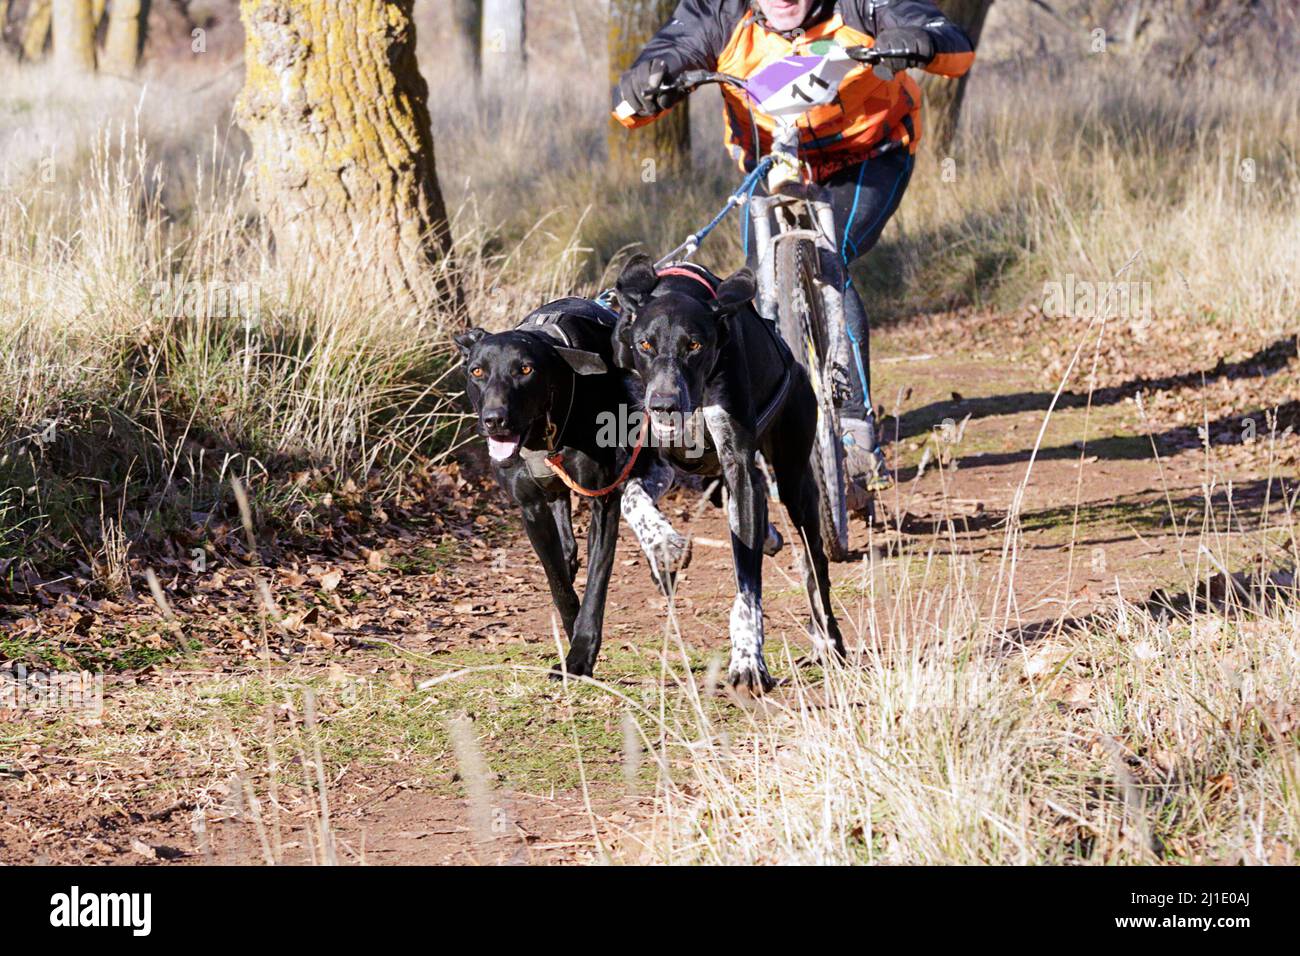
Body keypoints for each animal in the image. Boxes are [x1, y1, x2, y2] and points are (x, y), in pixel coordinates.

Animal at [608, 251, 842, 691]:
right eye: (645, 344)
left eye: (694, 345)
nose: (664, 403)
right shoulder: (652, 462)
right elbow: (633, 500)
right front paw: (663, 544)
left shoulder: (739, 468)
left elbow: (747, 592)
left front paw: (749, 659)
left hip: (796, 481)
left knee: (814, 564)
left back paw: (829, 640)